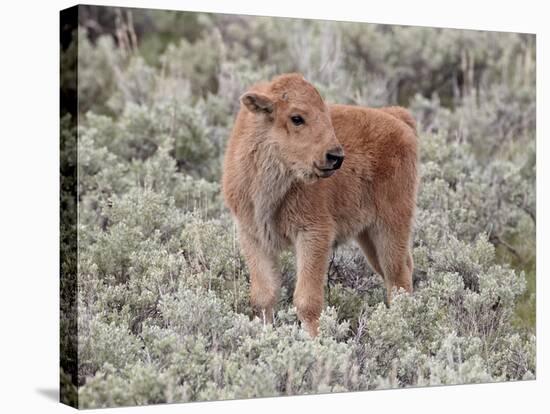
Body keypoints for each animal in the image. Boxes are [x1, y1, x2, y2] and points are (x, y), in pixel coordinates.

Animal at [222, 72, 420, 336]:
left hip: (391, 227)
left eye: (325, 114)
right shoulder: (253, 236)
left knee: (398, 277)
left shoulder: (313, 234)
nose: (335, 157)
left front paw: (315, 341)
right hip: (368, 236)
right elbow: (264, 296)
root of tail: (399, 119)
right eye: (297, 118)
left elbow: (307, 301)